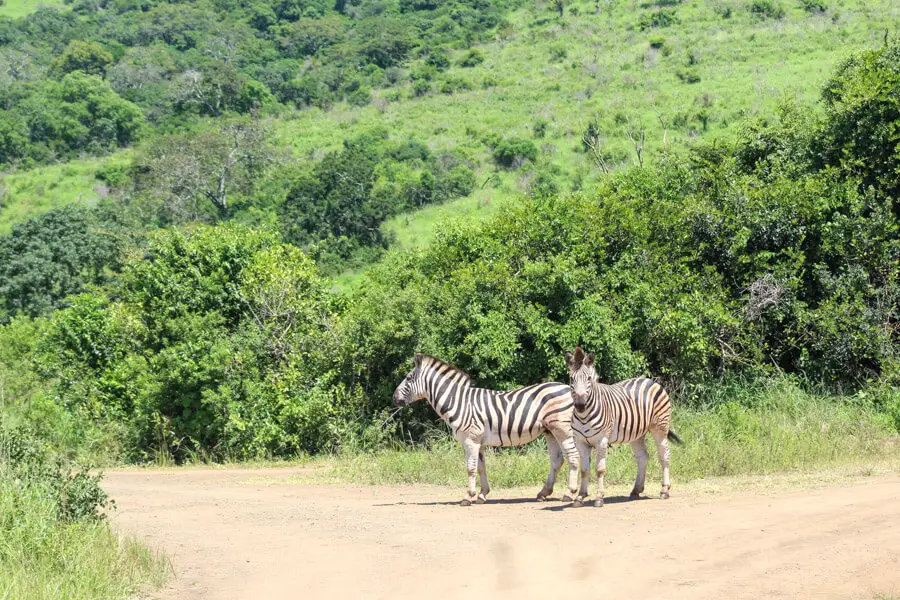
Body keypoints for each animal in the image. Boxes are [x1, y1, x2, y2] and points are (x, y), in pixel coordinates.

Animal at [392, 354, 580, 504]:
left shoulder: (471, 440)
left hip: (563, 429)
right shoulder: (478, 442)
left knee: (573, 456)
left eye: (408, 378)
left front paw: (468, 496)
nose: (394, 398)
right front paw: (482, 495)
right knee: (557, 460)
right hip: (550, 431)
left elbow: (471, 468)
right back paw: (544, 493)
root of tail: (567, 387)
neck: (459, 402)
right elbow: (481, 467)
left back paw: (570, 493)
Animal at [564, 346, 684, 506]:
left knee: (664, 455)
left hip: (660, 427)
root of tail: (650, 380)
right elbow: (584, 470)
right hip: (637, 433)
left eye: (589, 378)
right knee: (643, 457)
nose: (580, 405)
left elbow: (600, 469)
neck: (584, 416)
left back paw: (664, 490)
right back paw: (636, 490)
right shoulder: (580, 442)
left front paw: (599, 498)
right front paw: (580, 497)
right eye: (572, 379)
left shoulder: (602, 440)